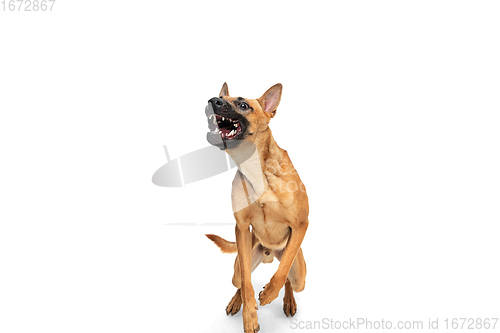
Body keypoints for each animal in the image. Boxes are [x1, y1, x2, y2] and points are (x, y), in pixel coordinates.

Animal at [204, 83, 308, 332]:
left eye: (243, 105)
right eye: (221, 98)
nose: (212, 101)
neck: (255, 167)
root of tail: (269, 252)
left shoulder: (301, 225)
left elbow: (282, 272)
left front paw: (270, 293)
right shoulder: (241, 228)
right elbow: (246, 282)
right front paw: (249, 314)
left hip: (300, 276)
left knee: (289, 278)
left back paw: (287, 300)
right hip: (240, 263)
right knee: (241, 279)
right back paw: (237, 301)